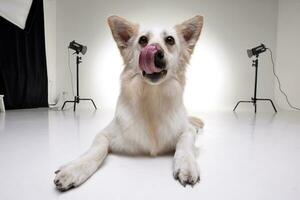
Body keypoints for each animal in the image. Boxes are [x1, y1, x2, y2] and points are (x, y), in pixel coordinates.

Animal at [54, 14, 204, 190]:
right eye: (143, 39)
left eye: (170, 40)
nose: (156, 53)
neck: (152, 99)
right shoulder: (104, 134)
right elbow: (97, 149)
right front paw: (74, 169)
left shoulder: (186, 131)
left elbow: (184, 143)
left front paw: (187, 165)